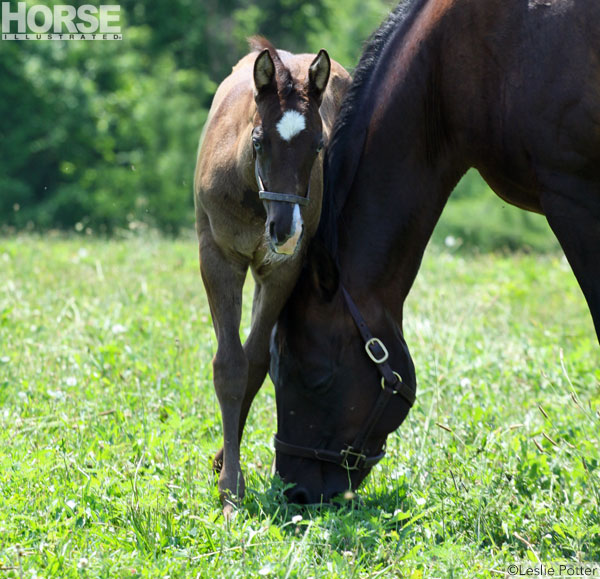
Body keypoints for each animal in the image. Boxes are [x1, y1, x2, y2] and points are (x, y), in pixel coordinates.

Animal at [193, 38, 352, 516]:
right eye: (259, 141)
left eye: (318, 145)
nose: (284, 230)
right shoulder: (217, 256)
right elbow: (229, 365)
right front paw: (230, 491)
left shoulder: (282, 270)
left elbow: (254, 363)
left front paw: (228, 476)